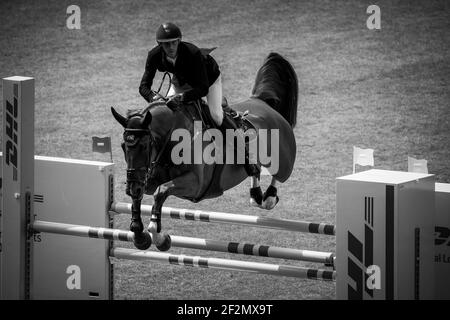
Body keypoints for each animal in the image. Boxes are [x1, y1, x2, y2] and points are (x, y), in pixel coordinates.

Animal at [110, 52, 298, 251]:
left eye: (145, 146)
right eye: (123, 146)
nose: (132, 187)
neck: (172, 137)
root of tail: (261, 101)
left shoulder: (196, 184)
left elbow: (161, 191)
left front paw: (159, 236)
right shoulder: (148, 178)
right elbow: (141, 197)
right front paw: (140, 235)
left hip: (284, 158)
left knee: (279, 175)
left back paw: (269, 197)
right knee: (257, 171)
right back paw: (256, 195)